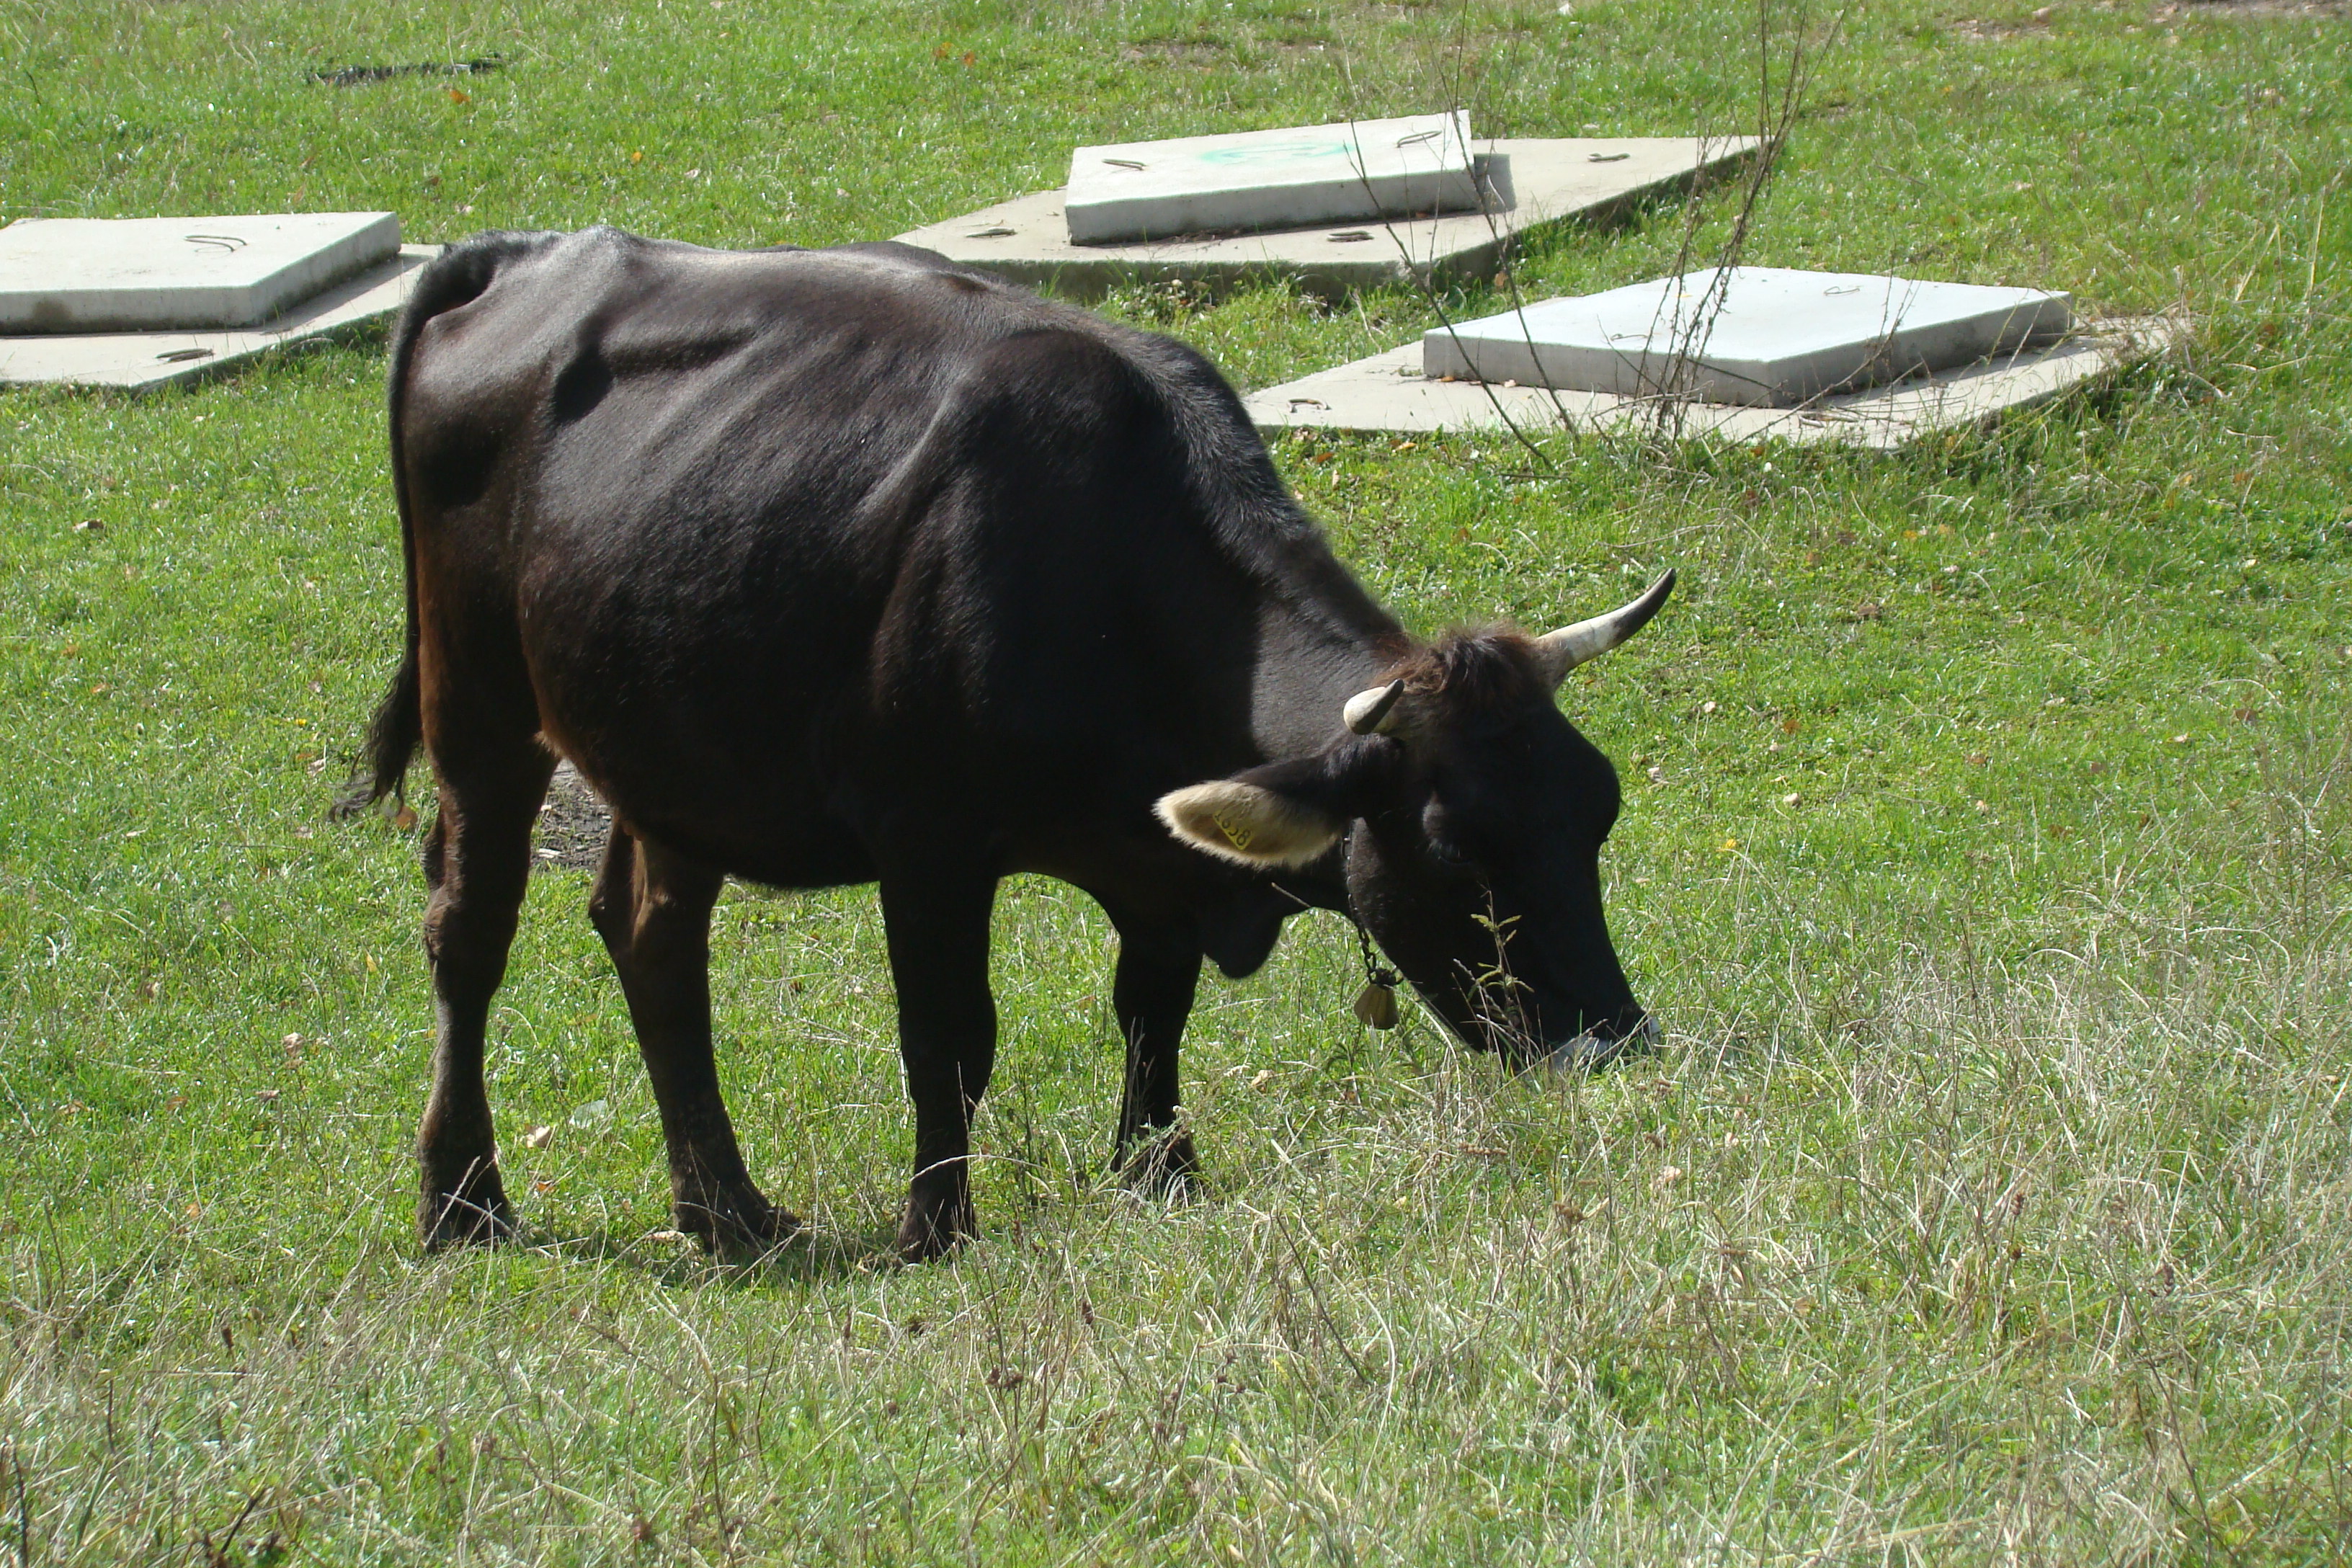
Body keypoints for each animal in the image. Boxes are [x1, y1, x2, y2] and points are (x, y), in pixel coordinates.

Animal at [343, 226, 1674, 1260]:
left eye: (1598, 807)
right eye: (1453, 851)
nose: (1616, 1046)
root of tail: (530, 253)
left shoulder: (1155, 859)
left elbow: (1149, 1011)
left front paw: (1158, 1171)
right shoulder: (927, 843)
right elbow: (949, 1040)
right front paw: (935, 1230)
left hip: (672, 746)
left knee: (651, 937)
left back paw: (729, 1212)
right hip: (478, 706)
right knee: (468, 932)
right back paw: (462, 1199)